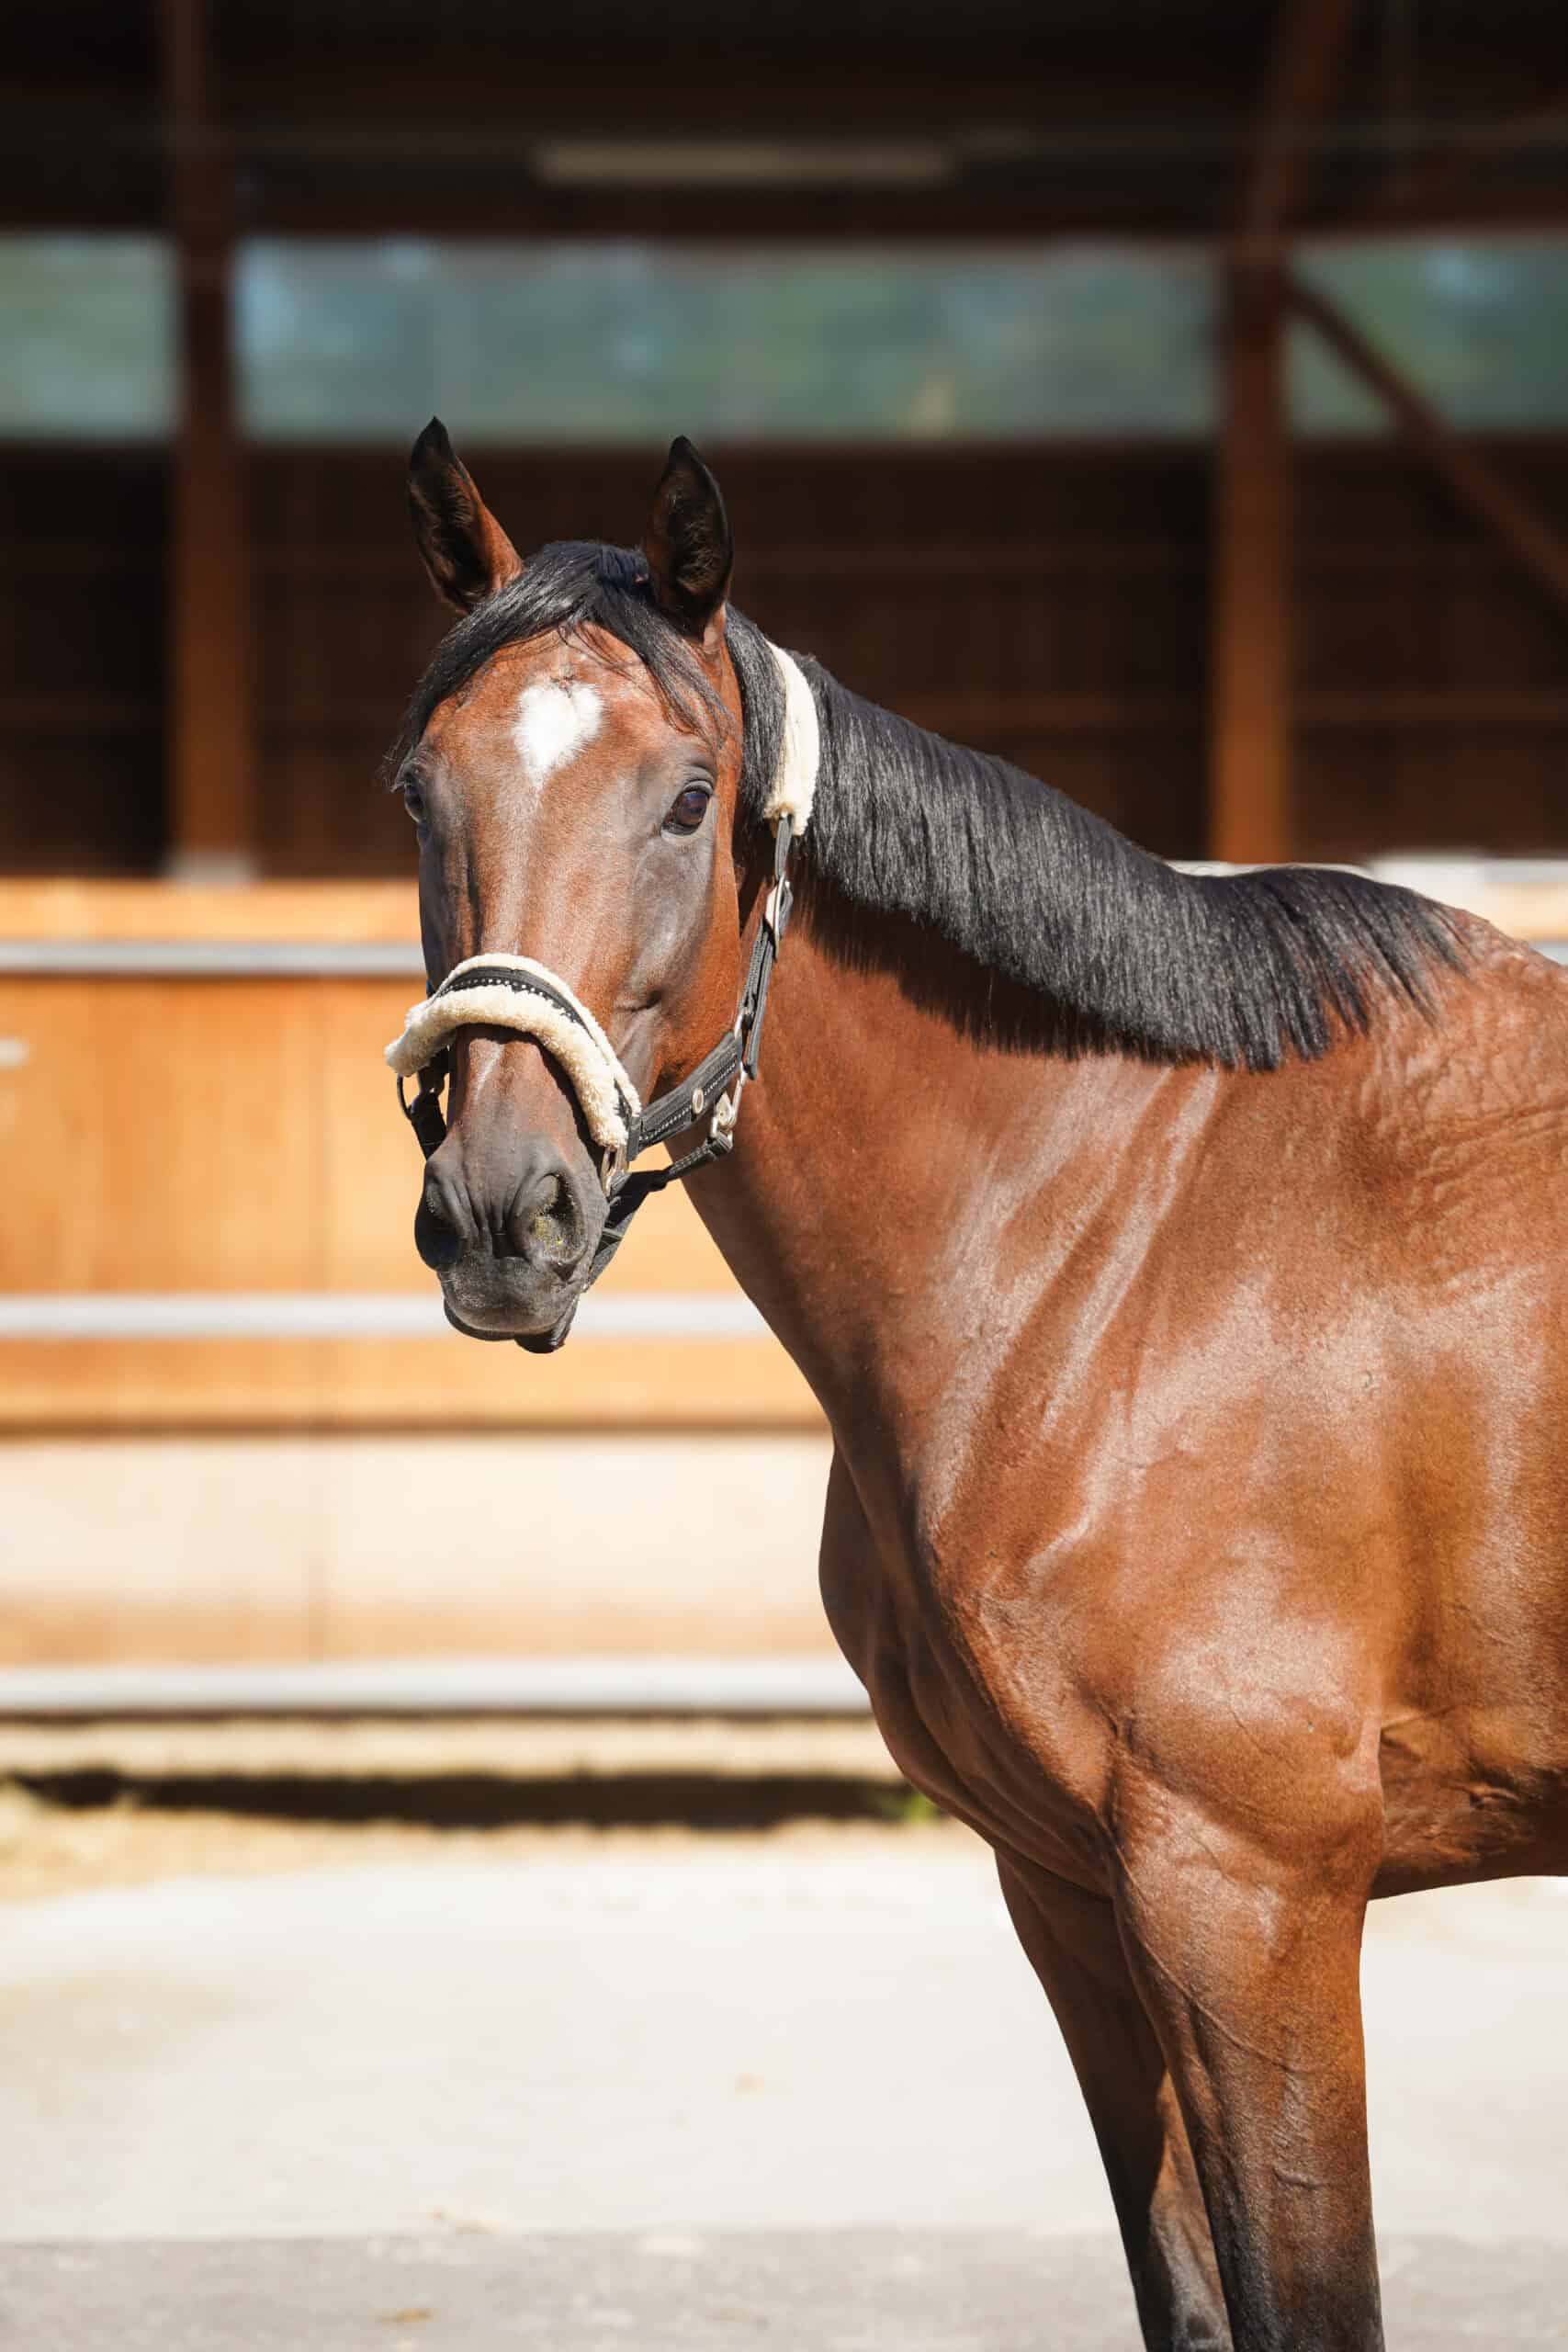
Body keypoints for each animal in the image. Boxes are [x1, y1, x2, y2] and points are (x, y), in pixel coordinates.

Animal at [383, 420, 1568, 2350]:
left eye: (689, 797)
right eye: (418, 790)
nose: (504, 1210)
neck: (1127, 1243)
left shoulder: (1251, 1892)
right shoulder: (1077, 1896)